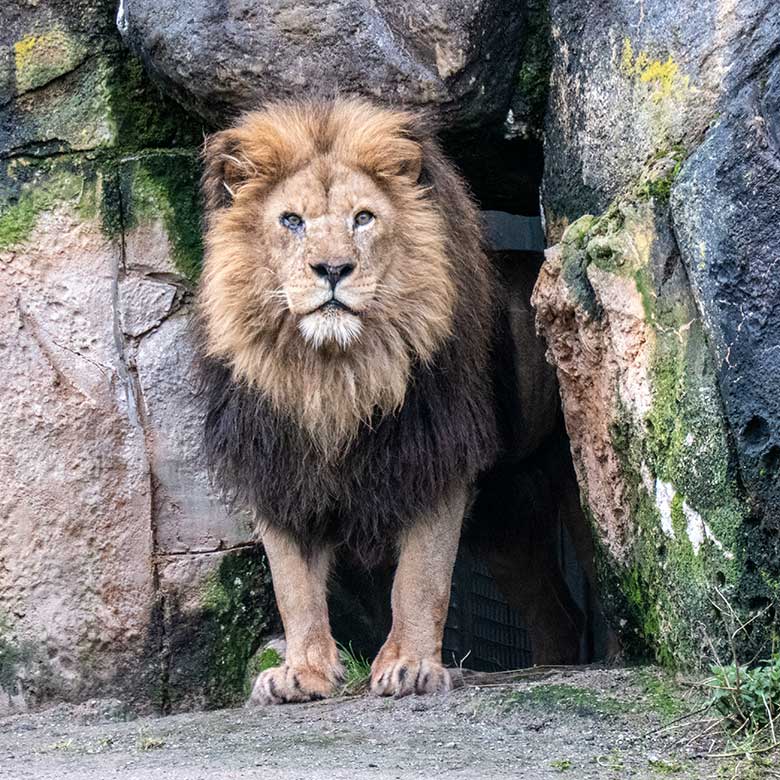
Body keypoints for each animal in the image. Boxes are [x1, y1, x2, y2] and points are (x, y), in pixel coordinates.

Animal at [197, 99, 500, 708]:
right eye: (292, 221)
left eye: (363, 218)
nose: (333, 269)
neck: (335, 378)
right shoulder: (276, 470)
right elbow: (293, 586)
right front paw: (303, 674)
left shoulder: (437, 457)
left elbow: (421, 577)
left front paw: (409, 666)